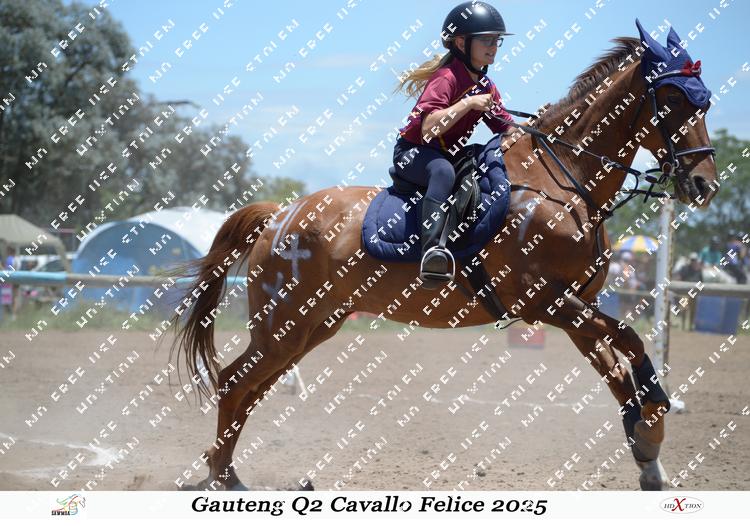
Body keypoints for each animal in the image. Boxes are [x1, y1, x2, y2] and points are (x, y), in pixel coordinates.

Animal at [172, 26, 717, 491]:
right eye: (673, 99)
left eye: (705, 101)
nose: (704, 185)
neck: (563, 182)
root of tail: (278, 214)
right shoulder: (544, 302)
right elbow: (630, 342)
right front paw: (654, 420)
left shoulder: (576, 306)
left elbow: (619, 367)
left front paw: (648, 450)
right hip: (284, 324)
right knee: (233, 382)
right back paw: (223, 477)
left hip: (311, 326)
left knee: (250, 387)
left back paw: (224, 470)